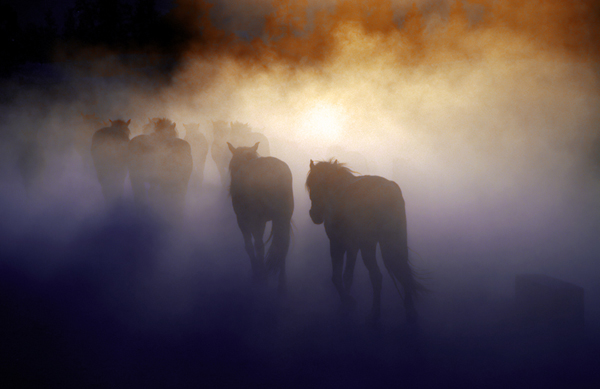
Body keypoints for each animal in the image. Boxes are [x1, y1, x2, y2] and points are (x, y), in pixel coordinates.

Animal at [227, 140, 292, 292]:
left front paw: (257, 274)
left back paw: (263, 277)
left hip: (259, 219)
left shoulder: (243, 220)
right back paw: (282, 284)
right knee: (283, 245)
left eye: (232, 165)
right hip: (284, 217)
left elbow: (250, 246)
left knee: (260, 245)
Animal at [304, 159, 422, 322]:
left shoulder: (345, 244)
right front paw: (346, 303)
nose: (315, 215)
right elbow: (340, 276)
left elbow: (343, 276)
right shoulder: (343, 245)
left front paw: (347, 304)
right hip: (382, 243)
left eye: (321, 184)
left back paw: (376, 313)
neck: (340, 195)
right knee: (396, 273)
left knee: (379, 275)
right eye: (310, 185)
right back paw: (404, 311)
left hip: (368, 245)